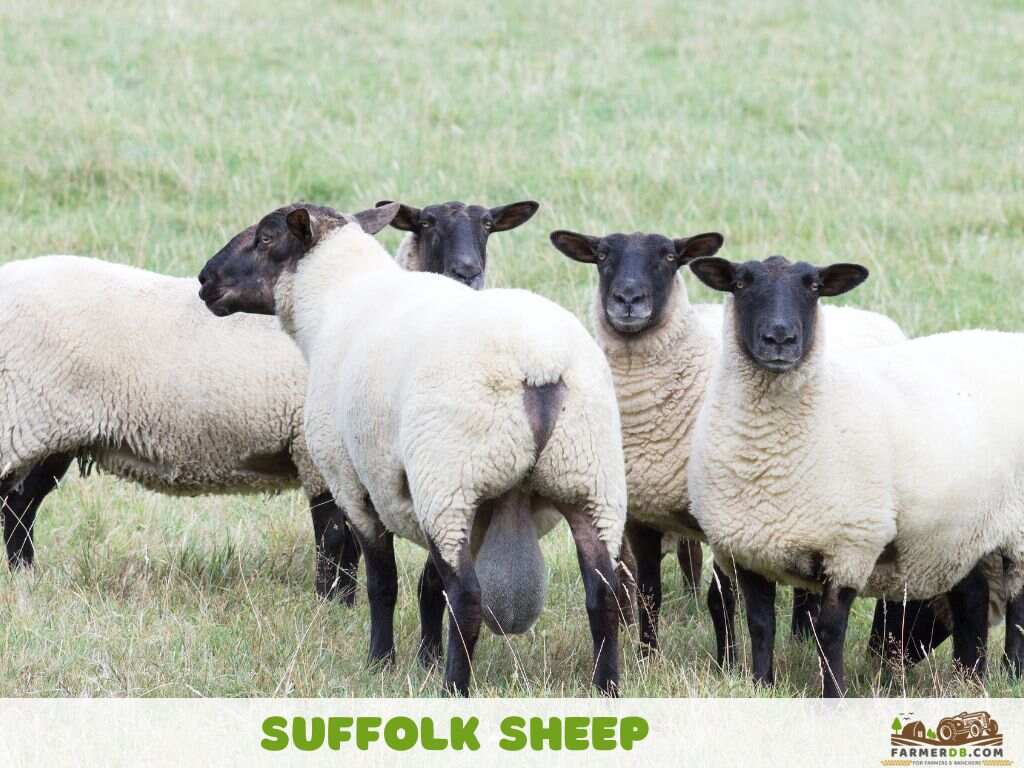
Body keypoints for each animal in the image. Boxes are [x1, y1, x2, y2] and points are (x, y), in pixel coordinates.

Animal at [197, 202, 628, 696]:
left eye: (266, 238)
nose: (205, 279)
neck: (336, 298)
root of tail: (539, 366)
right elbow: (427, 586)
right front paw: (426, 658)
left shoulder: (357, 485)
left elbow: (383, 582)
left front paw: (381, 661)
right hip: (588, 481)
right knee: (603, 593)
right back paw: (606, 688)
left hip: (452, 479)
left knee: (468, 597)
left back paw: (455, 688)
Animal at [548, 229, 938, 671]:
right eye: (601, 256)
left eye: (669, 257)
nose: (628, 299)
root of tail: (874, 317)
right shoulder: (644, 516)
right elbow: (650, 595)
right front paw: (647, 657)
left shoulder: (722, 520)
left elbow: (720, 599)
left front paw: (727, 664)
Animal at [687, 253, 1024, 696]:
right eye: (740, 283)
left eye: (814, 286)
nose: (780, 339)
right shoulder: (747, 548)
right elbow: (761, 625)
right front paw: (761, 686)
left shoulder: (849, 546)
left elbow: (829, 630)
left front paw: (834, 693)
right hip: (961, 533)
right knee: (972, 595)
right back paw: (969, 677)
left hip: (1015, 530)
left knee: (1018, 605)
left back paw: (1013, 672)